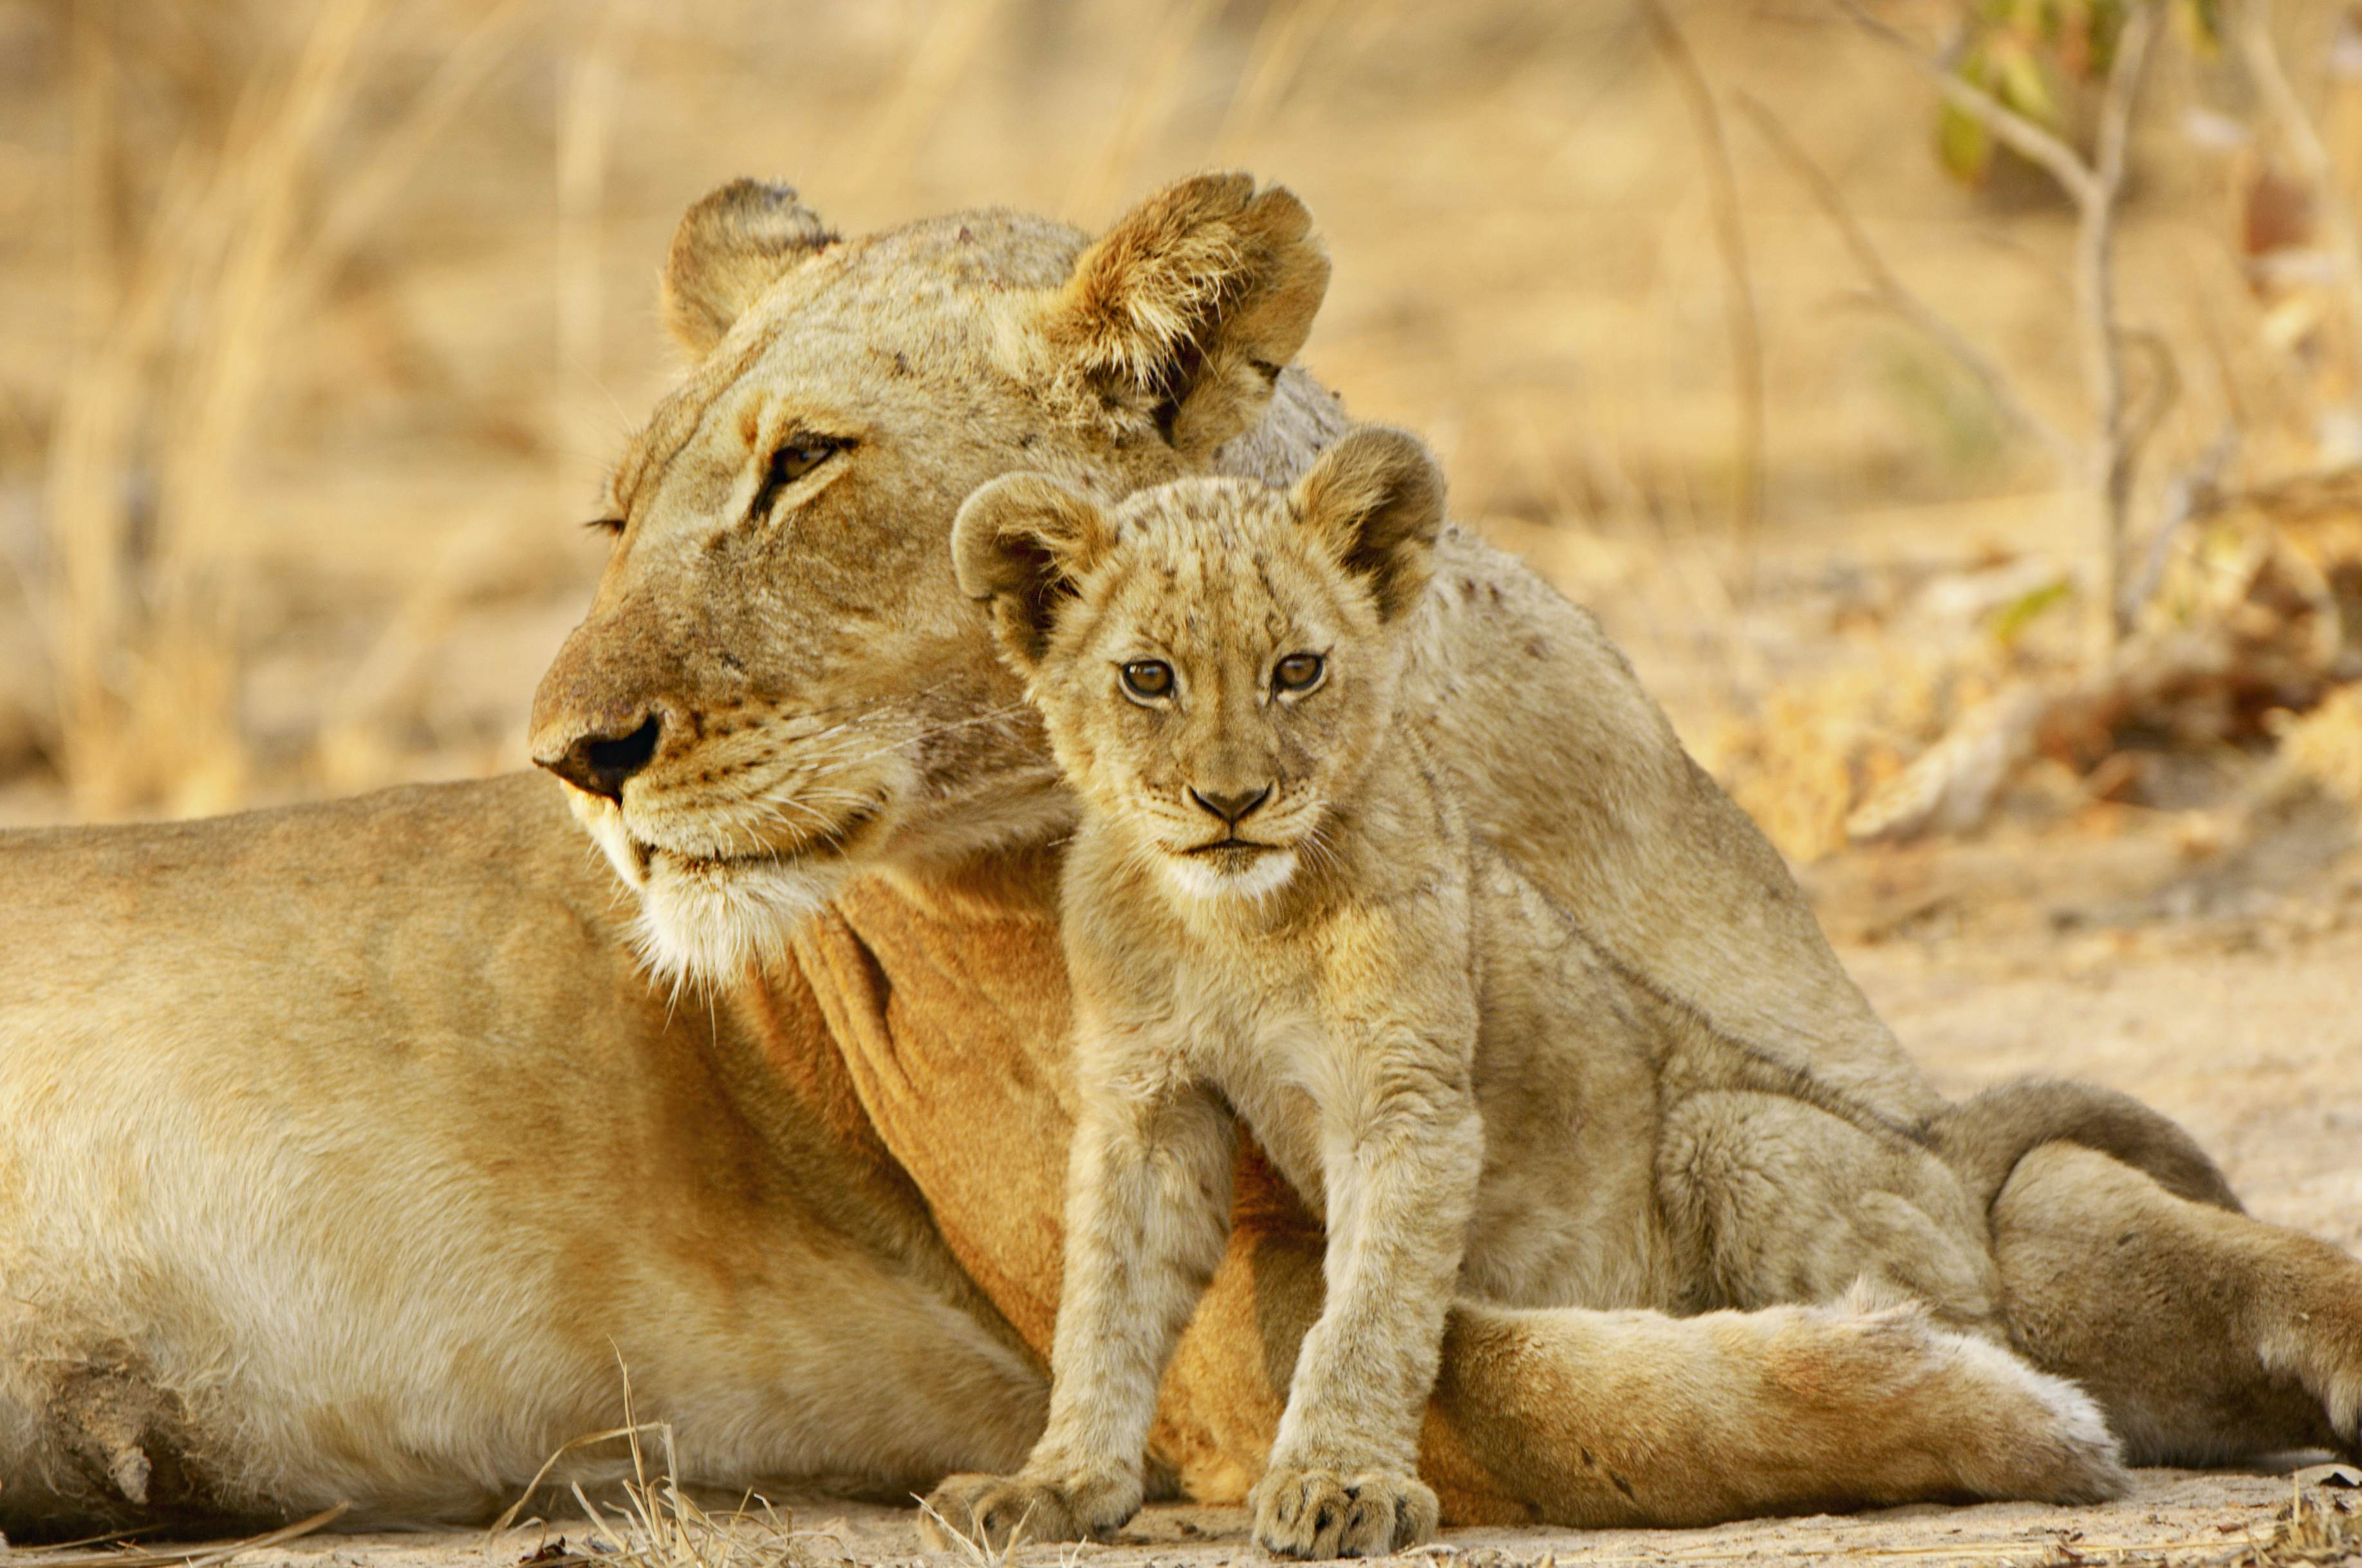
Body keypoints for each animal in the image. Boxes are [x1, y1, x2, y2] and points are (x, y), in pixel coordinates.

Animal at [2, 172, 2357, 1543]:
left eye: (801, 467)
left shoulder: (1886, 1146)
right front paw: (1972, 1402)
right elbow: (1523, 1392)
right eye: (618, 513)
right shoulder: (1196, 1326)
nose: (567, 759)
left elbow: (2159, 1232)